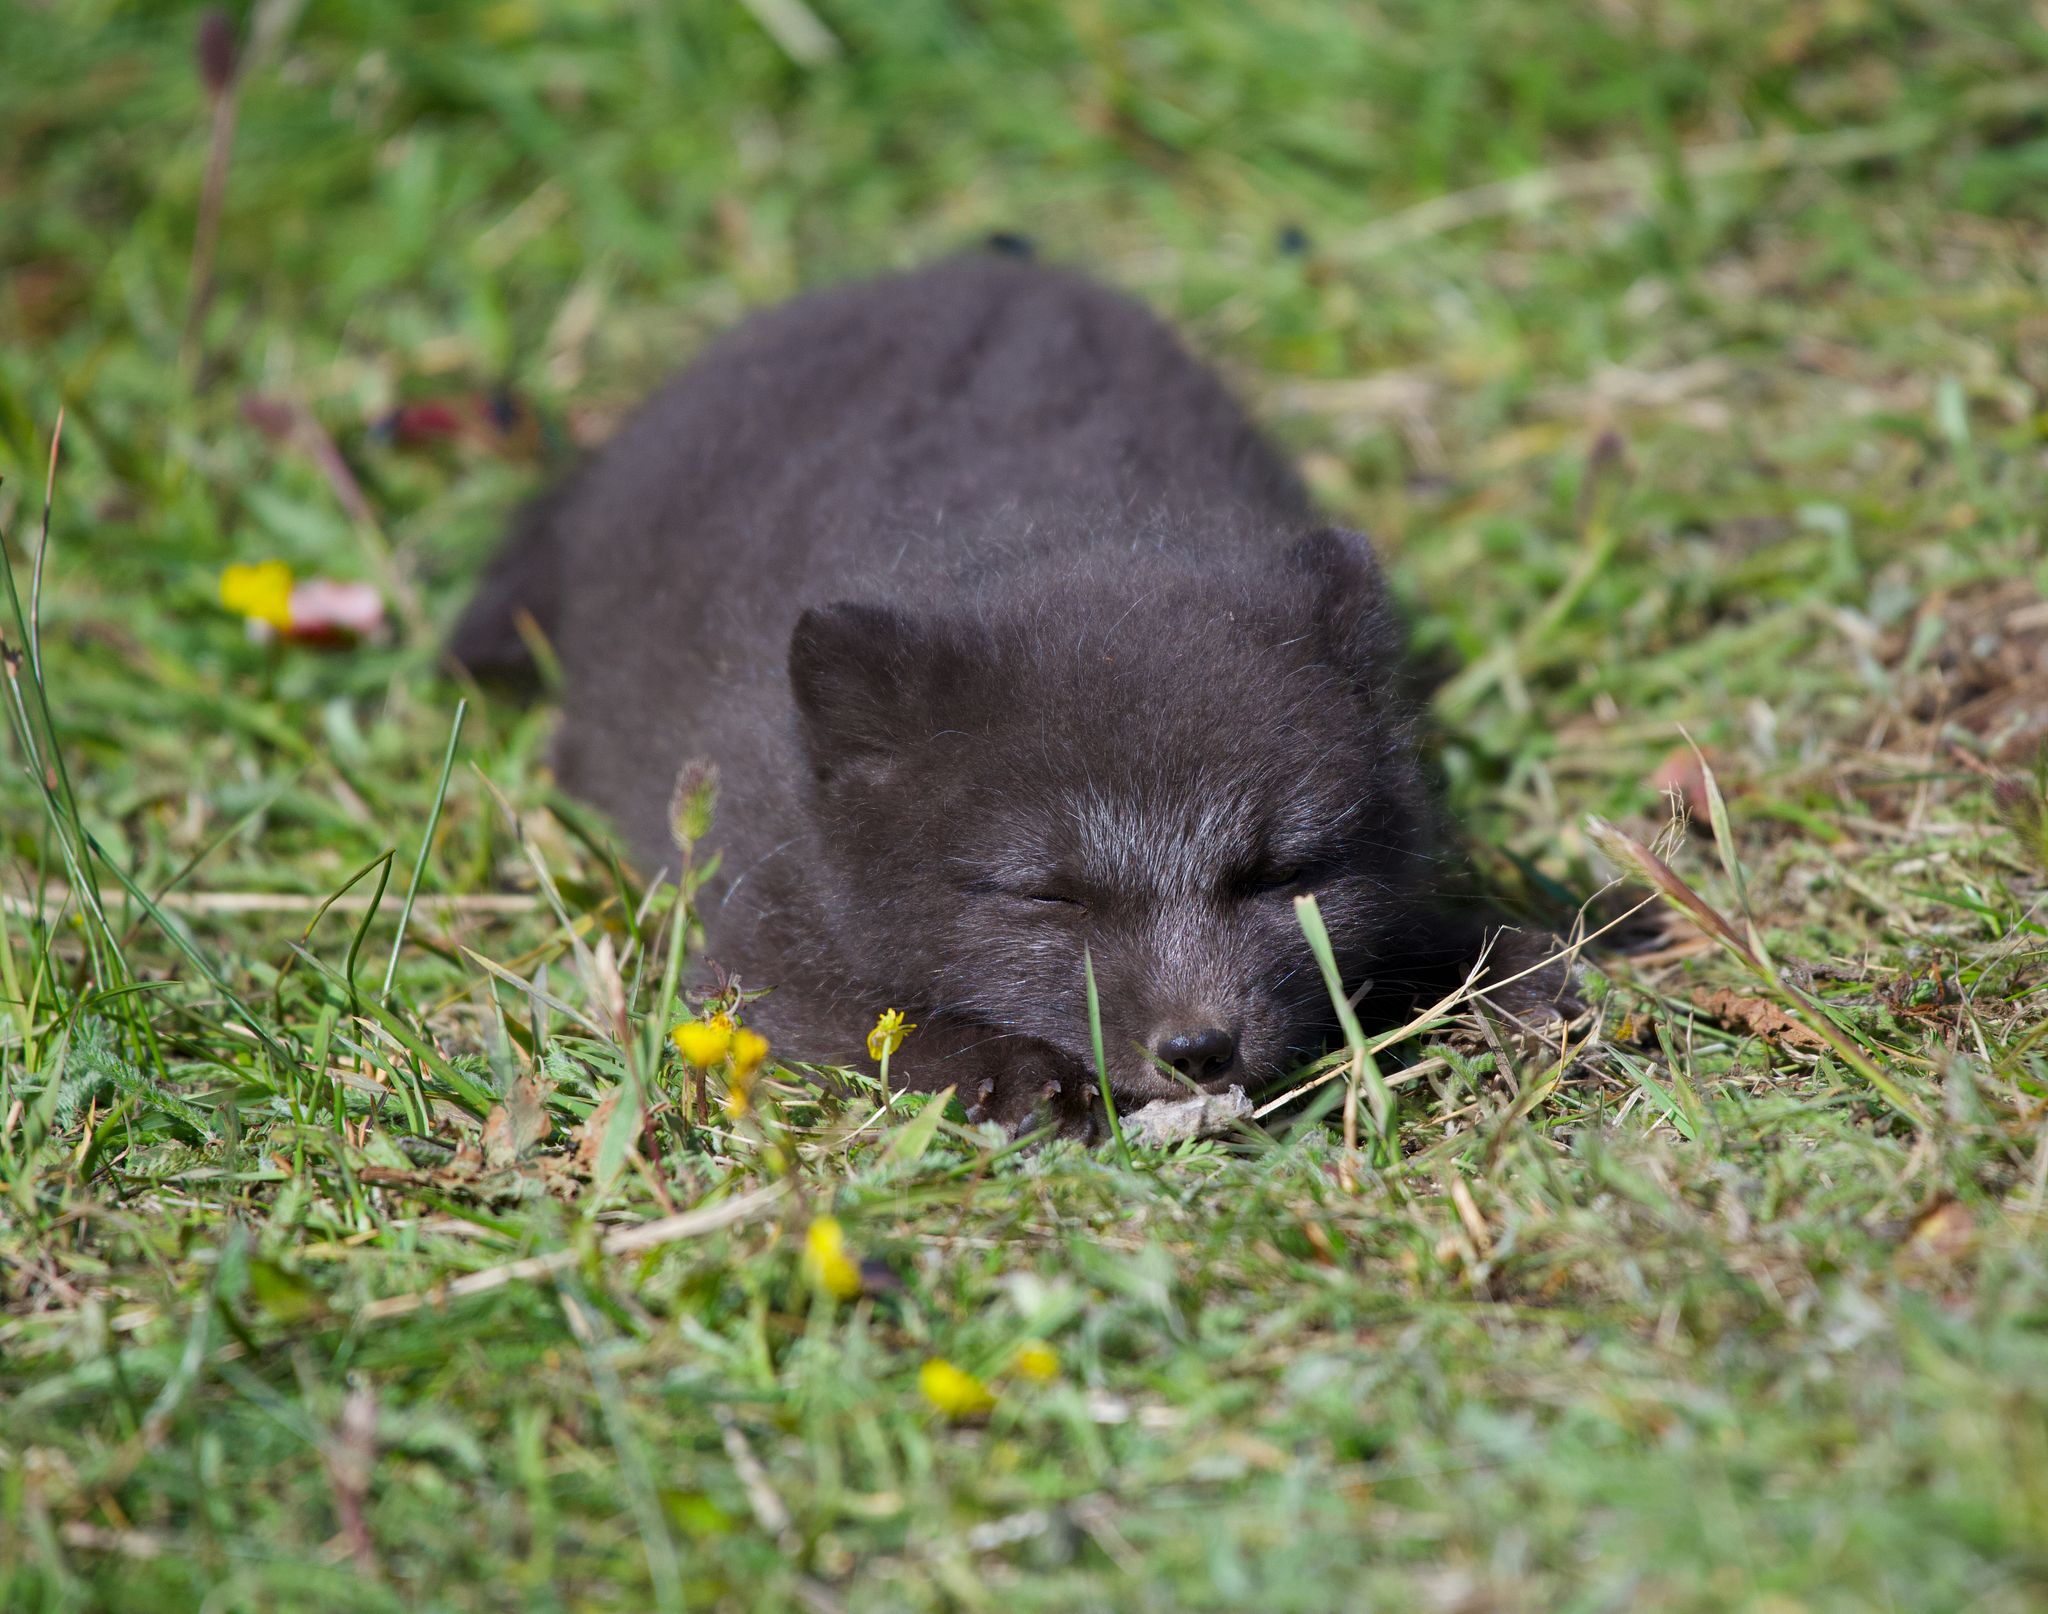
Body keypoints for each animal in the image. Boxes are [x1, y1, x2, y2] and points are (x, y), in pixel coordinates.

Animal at [451, 252, 1560, 1135]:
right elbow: (874, 1023)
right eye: (1045, 894)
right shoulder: (752, 947)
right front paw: (1020, 1077)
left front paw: (1500, 963)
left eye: (1281, 874)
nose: (1199, 1050)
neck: (1057, 519)